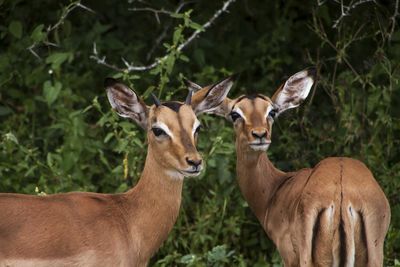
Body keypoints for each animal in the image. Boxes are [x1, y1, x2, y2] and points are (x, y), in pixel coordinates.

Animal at [191, 69, 390, 267]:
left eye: (272, 111)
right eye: (235, 114)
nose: (260, 135)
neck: (276, 189)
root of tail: (342, 195)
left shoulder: (288, 255)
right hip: (374, 256)